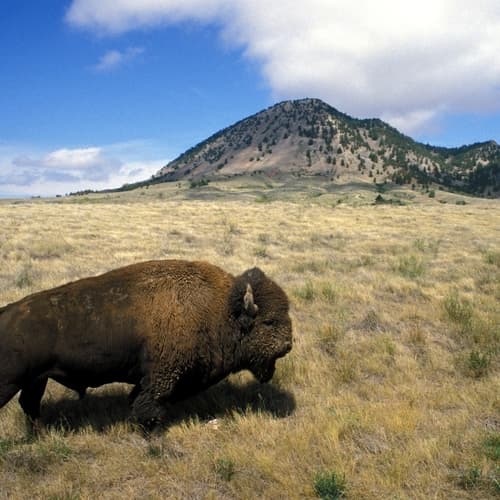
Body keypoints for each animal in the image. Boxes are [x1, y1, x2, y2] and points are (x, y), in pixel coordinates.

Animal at [0, 260, 292, 428]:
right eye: (268, 322)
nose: (288, 345)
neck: (220, 309)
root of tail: (7, 311)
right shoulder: (162, 375)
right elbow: (150, 404)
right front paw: (150, 429)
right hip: (10, 382)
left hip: (36, 379)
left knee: (29, 403)